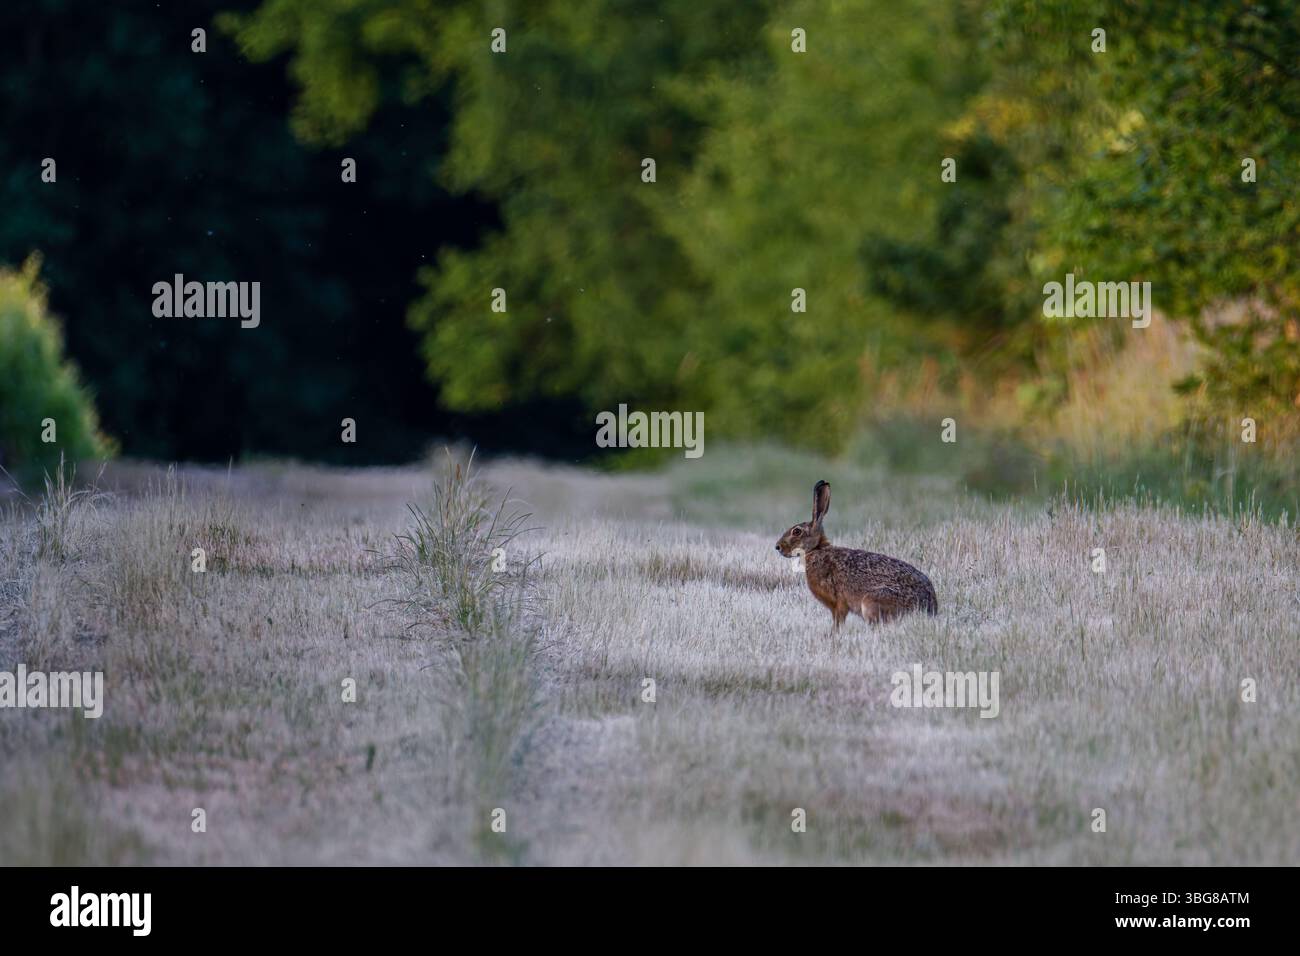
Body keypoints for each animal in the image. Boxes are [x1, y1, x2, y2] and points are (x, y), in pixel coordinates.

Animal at [775, 480, 937, 628]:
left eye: (796, 531)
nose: (777, 547)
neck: (816, 550)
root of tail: (931, 607)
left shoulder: (838, 603)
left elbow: (838, 621)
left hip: (871, 601)